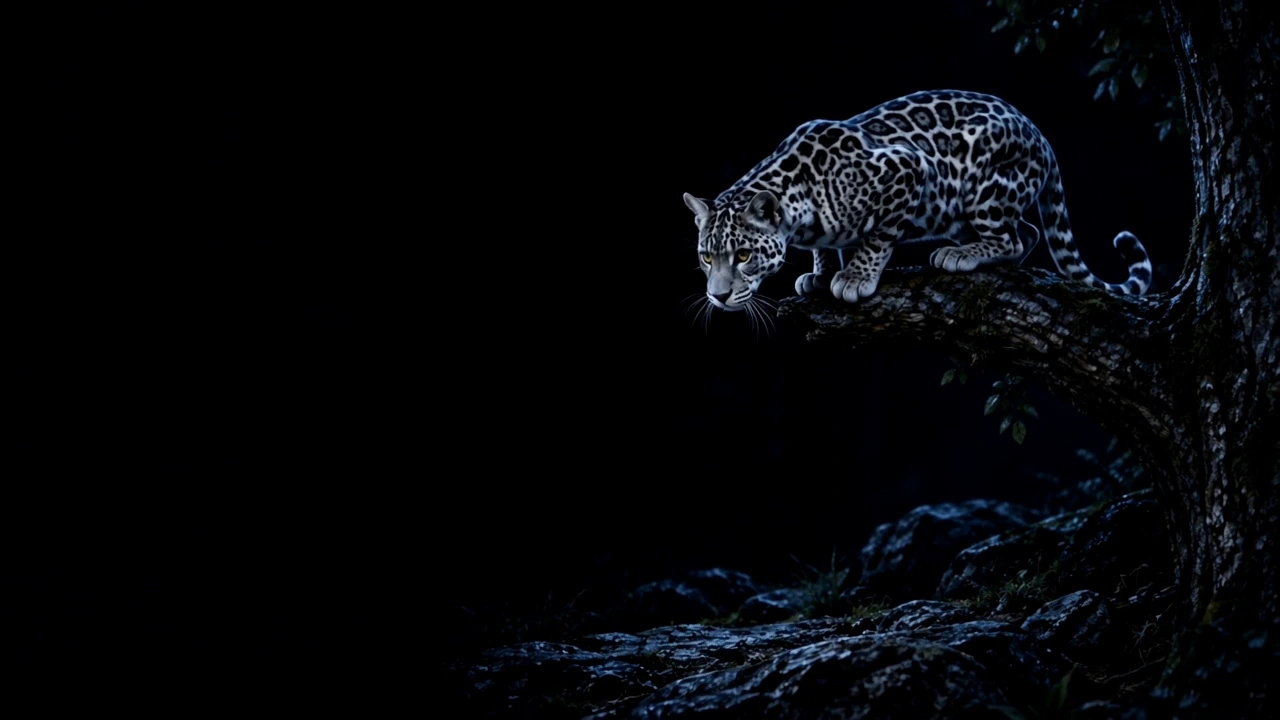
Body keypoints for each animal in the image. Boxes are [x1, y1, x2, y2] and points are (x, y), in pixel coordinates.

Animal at [683, 90, 1152, 313]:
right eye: (706, 258)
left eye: (744, 255)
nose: (717, 298)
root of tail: (1040, 135)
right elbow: (828, 246)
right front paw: (821, 273)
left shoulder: (908, 168)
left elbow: (877, 238)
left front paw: (855, 277)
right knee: (1031, 231)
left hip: (983, 189)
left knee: (1014, 237)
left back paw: (963, 255)